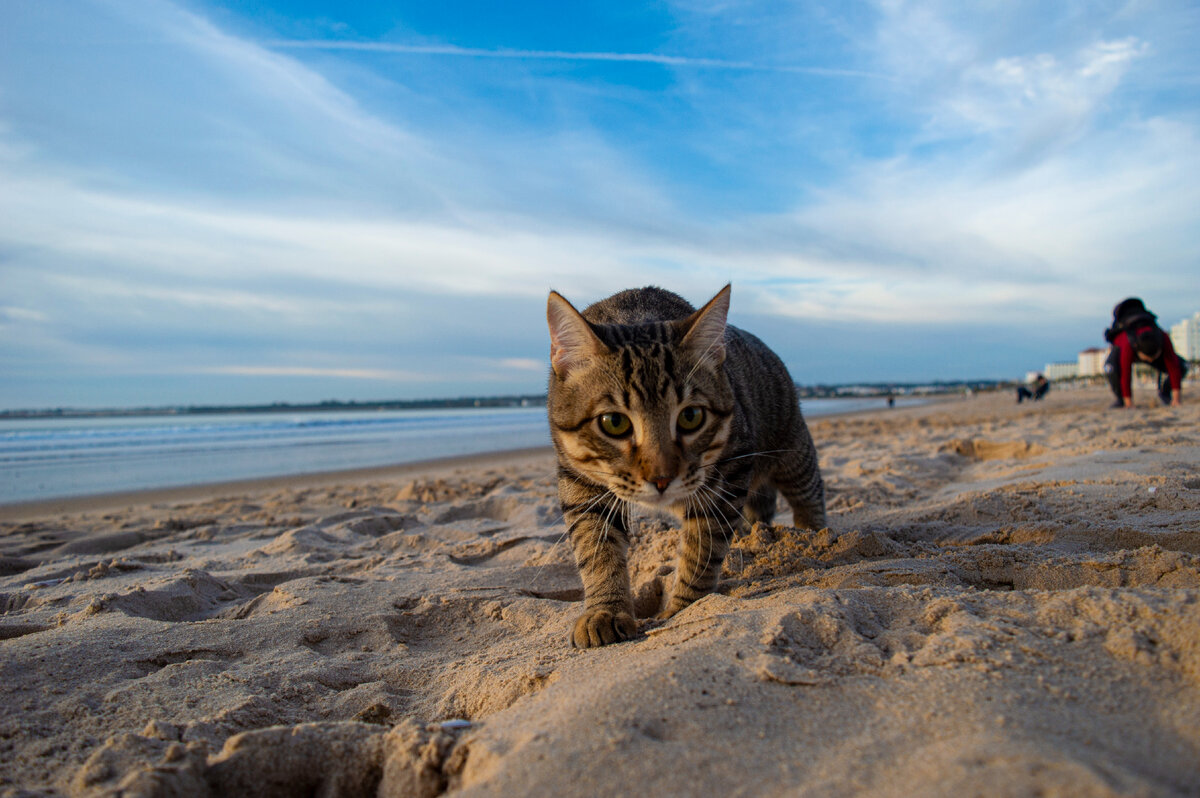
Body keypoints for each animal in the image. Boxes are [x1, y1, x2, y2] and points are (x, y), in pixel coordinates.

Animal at [549, 286, 825, 648]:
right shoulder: (581, 483)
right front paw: (605, 609)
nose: (661, 478)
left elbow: (703, 549)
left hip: (793, 452)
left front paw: (685, 607)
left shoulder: (728, 476)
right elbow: (596, 549)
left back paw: (815, 537)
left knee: (809, 494)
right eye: (614, 423)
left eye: (691, 416)